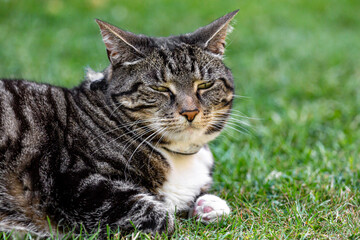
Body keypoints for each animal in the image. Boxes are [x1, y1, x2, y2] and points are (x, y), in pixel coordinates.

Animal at [0, 9, 239, 238]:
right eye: (160, 88)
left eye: (205, 85)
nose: (190, 112)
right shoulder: (72, 183)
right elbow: (160, 215)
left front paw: (208, 205)